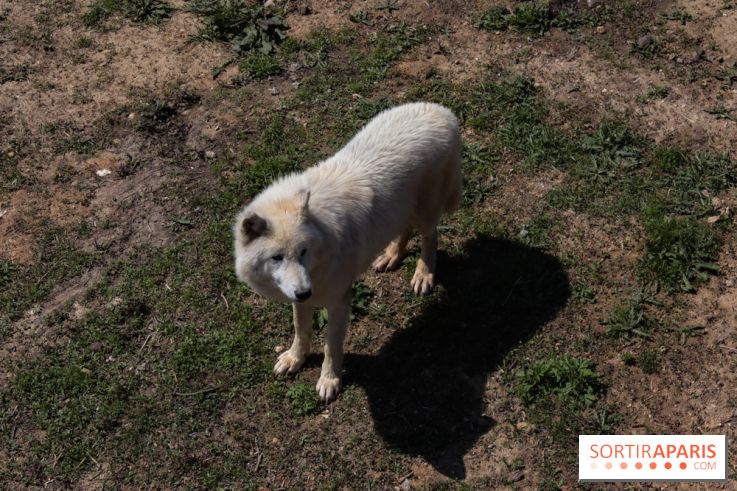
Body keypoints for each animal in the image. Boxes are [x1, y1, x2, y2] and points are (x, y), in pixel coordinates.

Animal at [233, 102, 462, 401]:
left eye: (303, 251)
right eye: (277, 258)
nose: (304, 292)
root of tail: (444, 112)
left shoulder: (340, 300)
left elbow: (331, 345)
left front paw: (329, 380)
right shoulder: (299, 296)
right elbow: (301, 329)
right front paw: (295, 358)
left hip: (427, 212)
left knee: (430, 236)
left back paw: (424, 274)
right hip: (400, 211)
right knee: (405, 230)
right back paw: (391, 256)